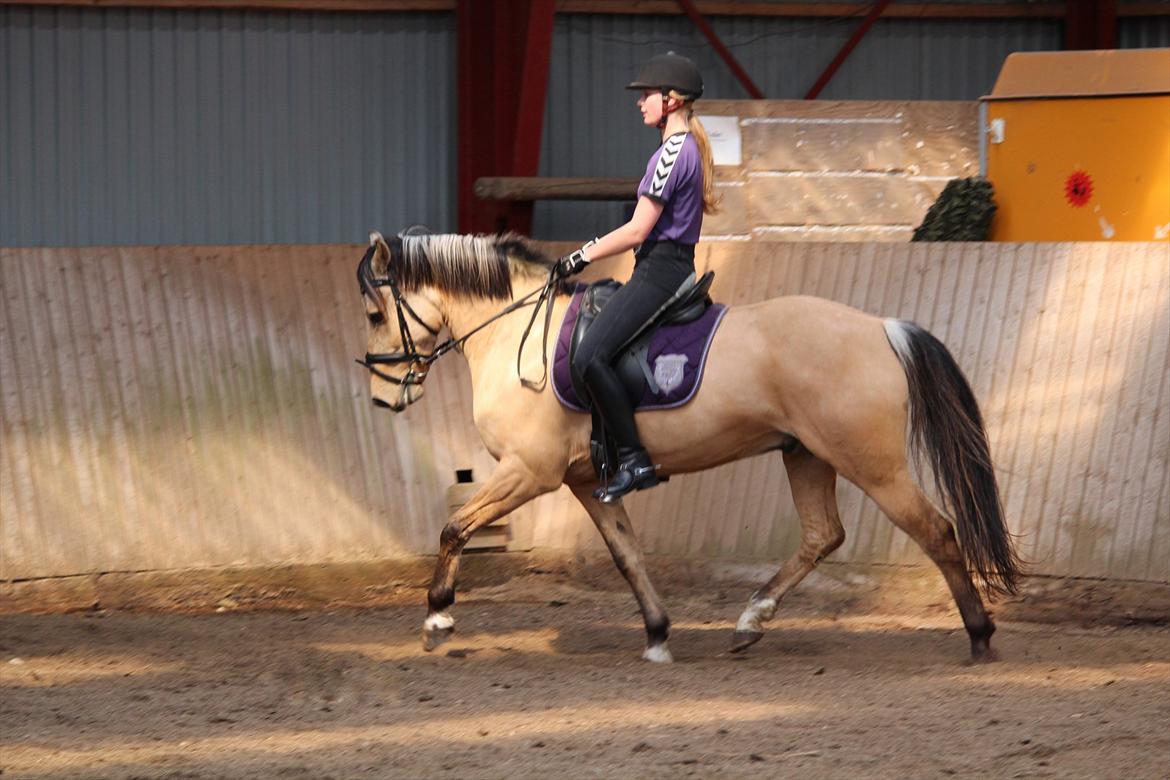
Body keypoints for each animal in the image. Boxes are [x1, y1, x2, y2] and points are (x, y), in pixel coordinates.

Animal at [355, 230, 1022, 664]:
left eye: (373, 312)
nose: (381, 399)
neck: (518, 333)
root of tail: (882, 328)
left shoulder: (529, 473)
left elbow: (454, 527)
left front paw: (437, 617)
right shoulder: (584, 481)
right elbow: (628, 556)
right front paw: (657, 634)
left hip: (871, 464)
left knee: (936, 531)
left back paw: (980, 635)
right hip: (805, 453)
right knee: (821, 535)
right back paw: (751, 621)